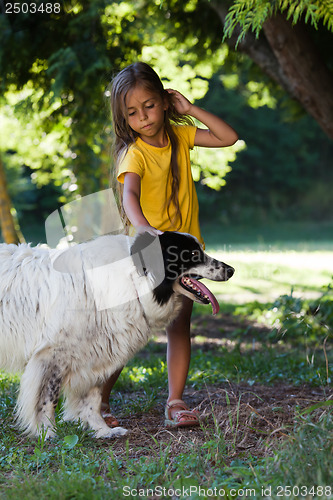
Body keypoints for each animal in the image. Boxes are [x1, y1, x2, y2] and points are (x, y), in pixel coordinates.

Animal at [0, 231, 233, 438]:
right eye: (192, 254)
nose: (231, 270)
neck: (135, 277)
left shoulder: (94, 353)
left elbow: (92, 400)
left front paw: (102, 431)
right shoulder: (51, 356)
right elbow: (47, 399)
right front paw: (46, 432)